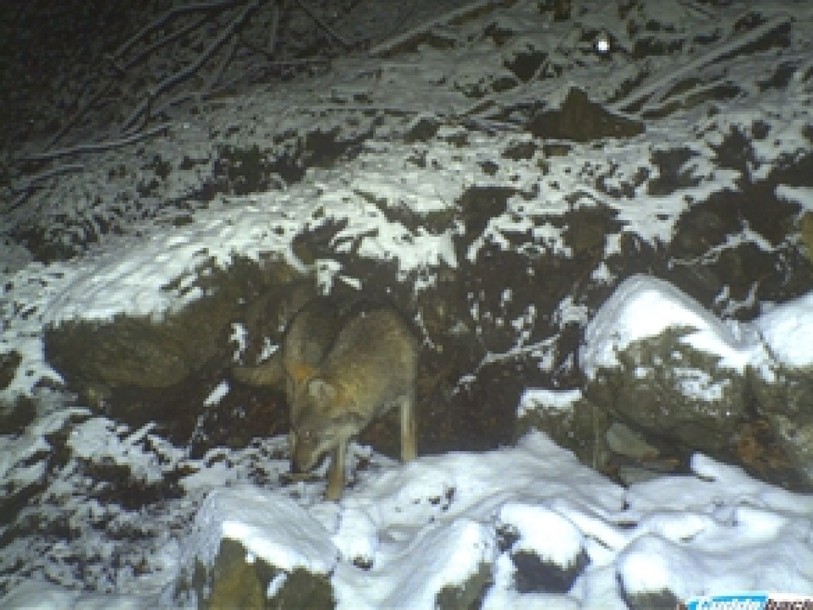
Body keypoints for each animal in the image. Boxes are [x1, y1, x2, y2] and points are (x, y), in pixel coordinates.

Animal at [234, 296, 419, 500]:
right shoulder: (339, 435)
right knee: (290, 437)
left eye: (308, 434)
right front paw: (331, 499)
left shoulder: (408, 395)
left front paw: (412, 468)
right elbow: (335, 472)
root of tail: (307, 306)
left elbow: (408, 440)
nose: (294, 466)